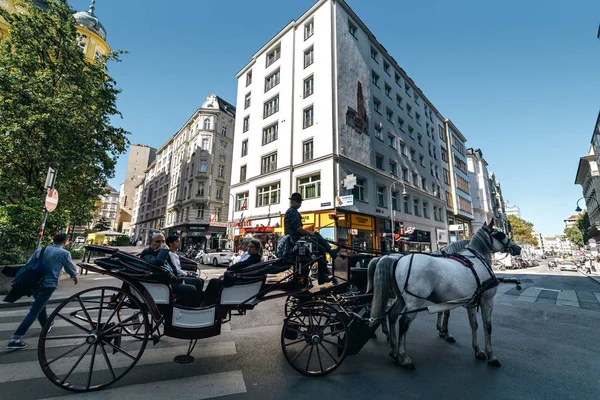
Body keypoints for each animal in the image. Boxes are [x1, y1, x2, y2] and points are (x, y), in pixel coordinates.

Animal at [368, 222, 516, 368]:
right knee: (403, 322)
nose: (517, 248)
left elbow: (473, 324)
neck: (477, 260)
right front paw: (491, 356)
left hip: (401, 298)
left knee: (392, 315)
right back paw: (403, 357)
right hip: (414, 301)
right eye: (500, 234)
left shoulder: (470, 301)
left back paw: (393, 350)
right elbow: (487, 326)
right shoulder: (487, 300)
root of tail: (397, 259)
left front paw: (477, 350)